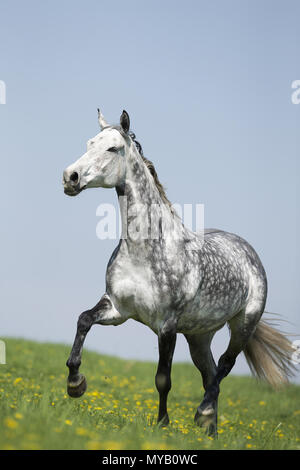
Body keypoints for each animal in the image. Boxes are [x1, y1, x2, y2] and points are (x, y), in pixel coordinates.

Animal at [62, 108, 294, 436]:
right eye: (89, 143)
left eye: (112, 149)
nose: (70, 177)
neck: (145, 250)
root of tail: (247, 251)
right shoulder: (117, 309)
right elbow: (83, 320)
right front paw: (75, 384)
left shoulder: (167, 326)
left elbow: (163, 379)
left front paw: (162, 424)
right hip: (199, 336)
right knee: (210, 374)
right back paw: (210, 432)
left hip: (243, 324)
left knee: (224, 366)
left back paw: (203, 413)